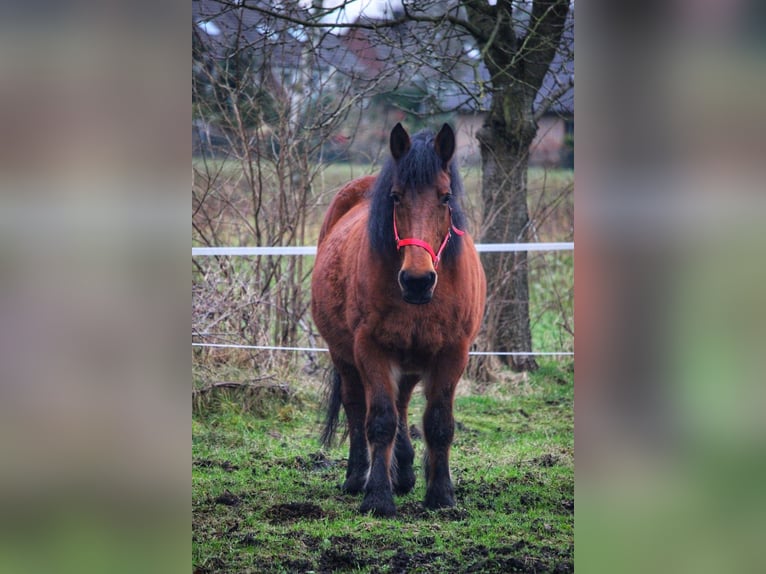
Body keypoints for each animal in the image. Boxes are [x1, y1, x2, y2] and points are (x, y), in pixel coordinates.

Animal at [312, 124, 486, 520]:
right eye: (395, 197)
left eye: (445, 197)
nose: (417, 281)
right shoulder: (370, 349)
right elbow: (379, 421)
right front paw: (377, 497)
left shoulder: (452, 353)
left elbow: (438, 424)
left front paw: (441, 496)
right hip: (344, 356)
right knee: (356, 407)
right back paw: (356, 477)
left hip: (410, 356)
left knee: (403, 403)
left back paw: (404, 474)